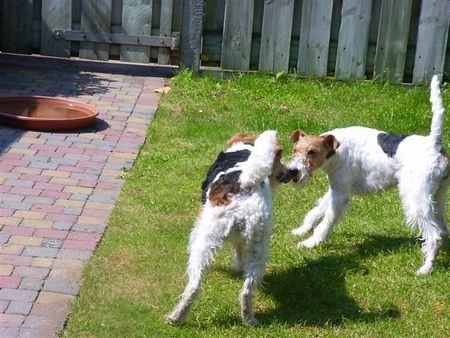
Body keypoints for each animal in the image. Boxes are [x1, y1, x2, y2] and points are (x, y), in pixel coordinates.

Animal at [286, 76, 448, 274]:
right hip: (437, 196)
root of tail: (434, 143)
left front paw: (311, 242)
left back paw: (425, 268)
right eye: (295, 150)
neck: (336, 151)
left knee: (435, 235)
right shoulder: (336, 188)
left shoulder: (340, 195)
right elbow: (317, 210)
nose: (293, 171)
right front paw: (302, 230)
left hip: (416, 199)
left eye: (312, 152)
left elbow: (327, 221)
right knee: (443, 230)